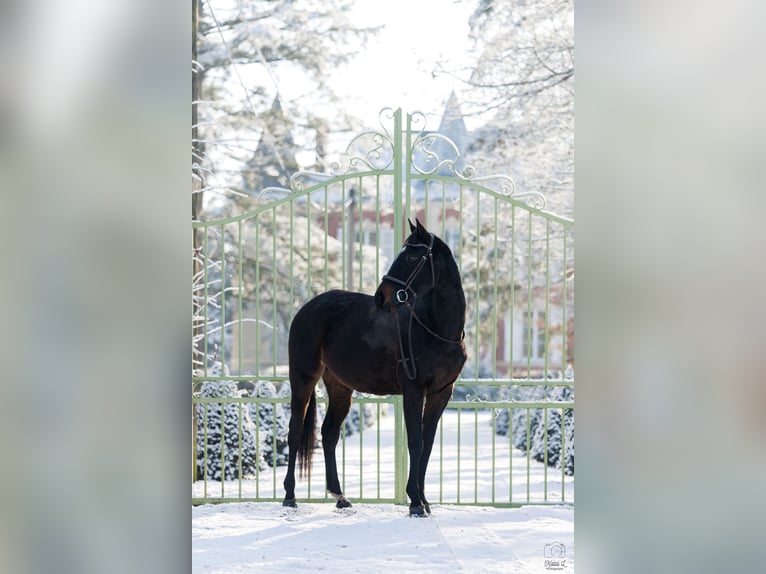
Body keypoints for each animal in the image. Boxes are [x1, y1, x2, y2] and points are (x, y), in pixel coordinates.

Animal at [282, 218, 467, 516]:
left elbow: (427, 445)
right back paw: (290, 496)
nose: (381, 297)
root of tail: (307, 309)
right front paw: (415, 502)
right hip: (302, 379)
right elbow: (415, 442)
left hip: (340, 388)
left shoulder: (441, 393)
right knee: (295, 431)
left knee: (329, 434)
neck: (437, 330)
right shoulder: (414, 390)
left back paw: (340, 496)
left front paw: (424, 500)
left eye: (412, 256)